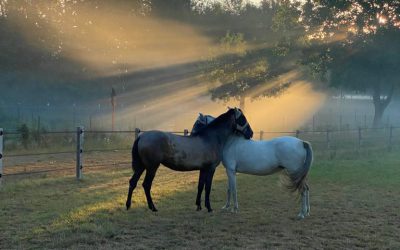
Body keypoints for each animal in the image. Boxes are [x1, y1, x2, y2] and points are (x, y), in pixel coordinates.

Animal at [125, 108, 253, 212]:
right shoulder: (211, 169)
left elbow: (200, 186)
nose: (250, 133)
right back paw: (153, 207)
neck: (211, 138)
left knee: (133, 182)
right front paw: (209, 208)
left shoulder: (203, 169)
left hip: (141, 166)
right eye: (242, 119)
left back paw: (128, 205)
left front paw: (199, 206)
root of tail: (141, 136)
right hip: (152, 167)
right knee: (146, 185)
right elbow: (208, 187)